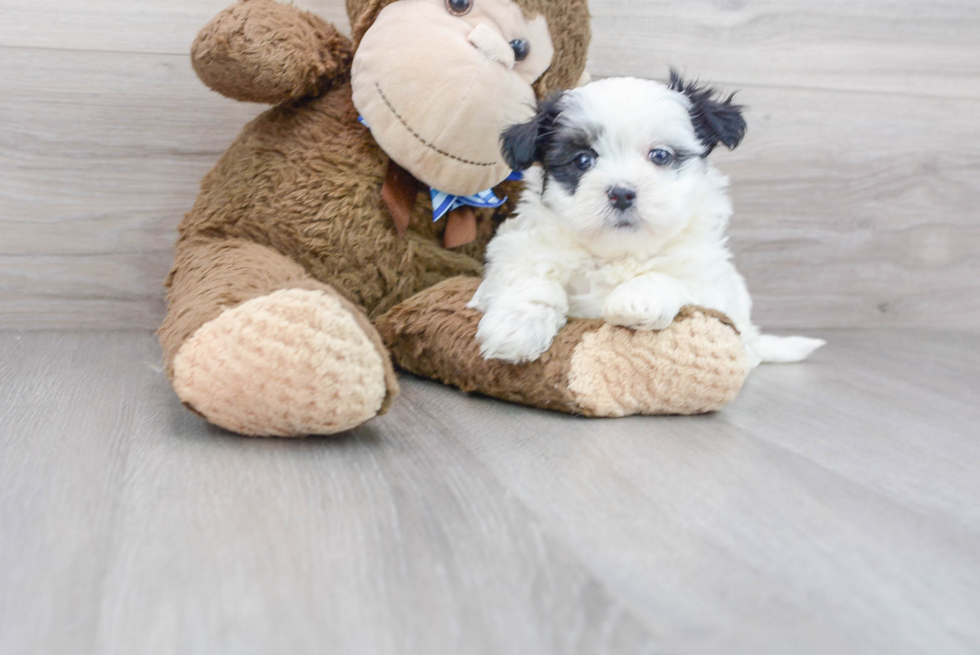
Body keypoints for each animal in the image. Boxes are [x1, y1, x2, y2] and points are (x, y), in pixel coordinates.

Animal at [470, 75, 824, 368]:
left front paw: (638, 298)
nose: (622, 193)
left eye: (661, 156)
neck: (620, 254)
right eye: (583, 160)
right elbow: (530, 279)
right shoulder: (517, 251)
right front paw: (516, 326)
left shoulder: (710, 285)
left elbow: (672, 278)